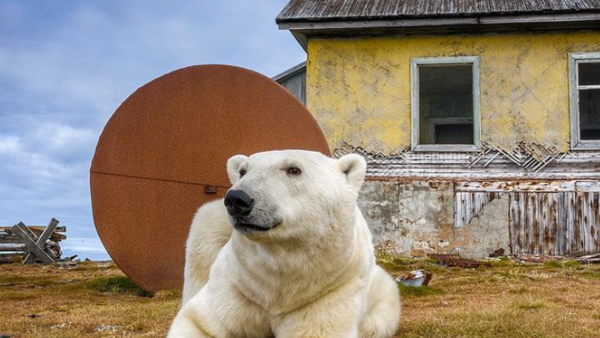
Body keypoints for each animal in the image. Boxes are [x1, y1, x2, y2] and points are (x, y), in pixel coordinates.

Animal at [168, 151, 398, 338]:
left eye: (294, 169)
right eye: (243, 171)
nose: (237, 199)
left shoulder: (331, 288)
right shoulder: (237, 284)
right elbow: (199, 322)